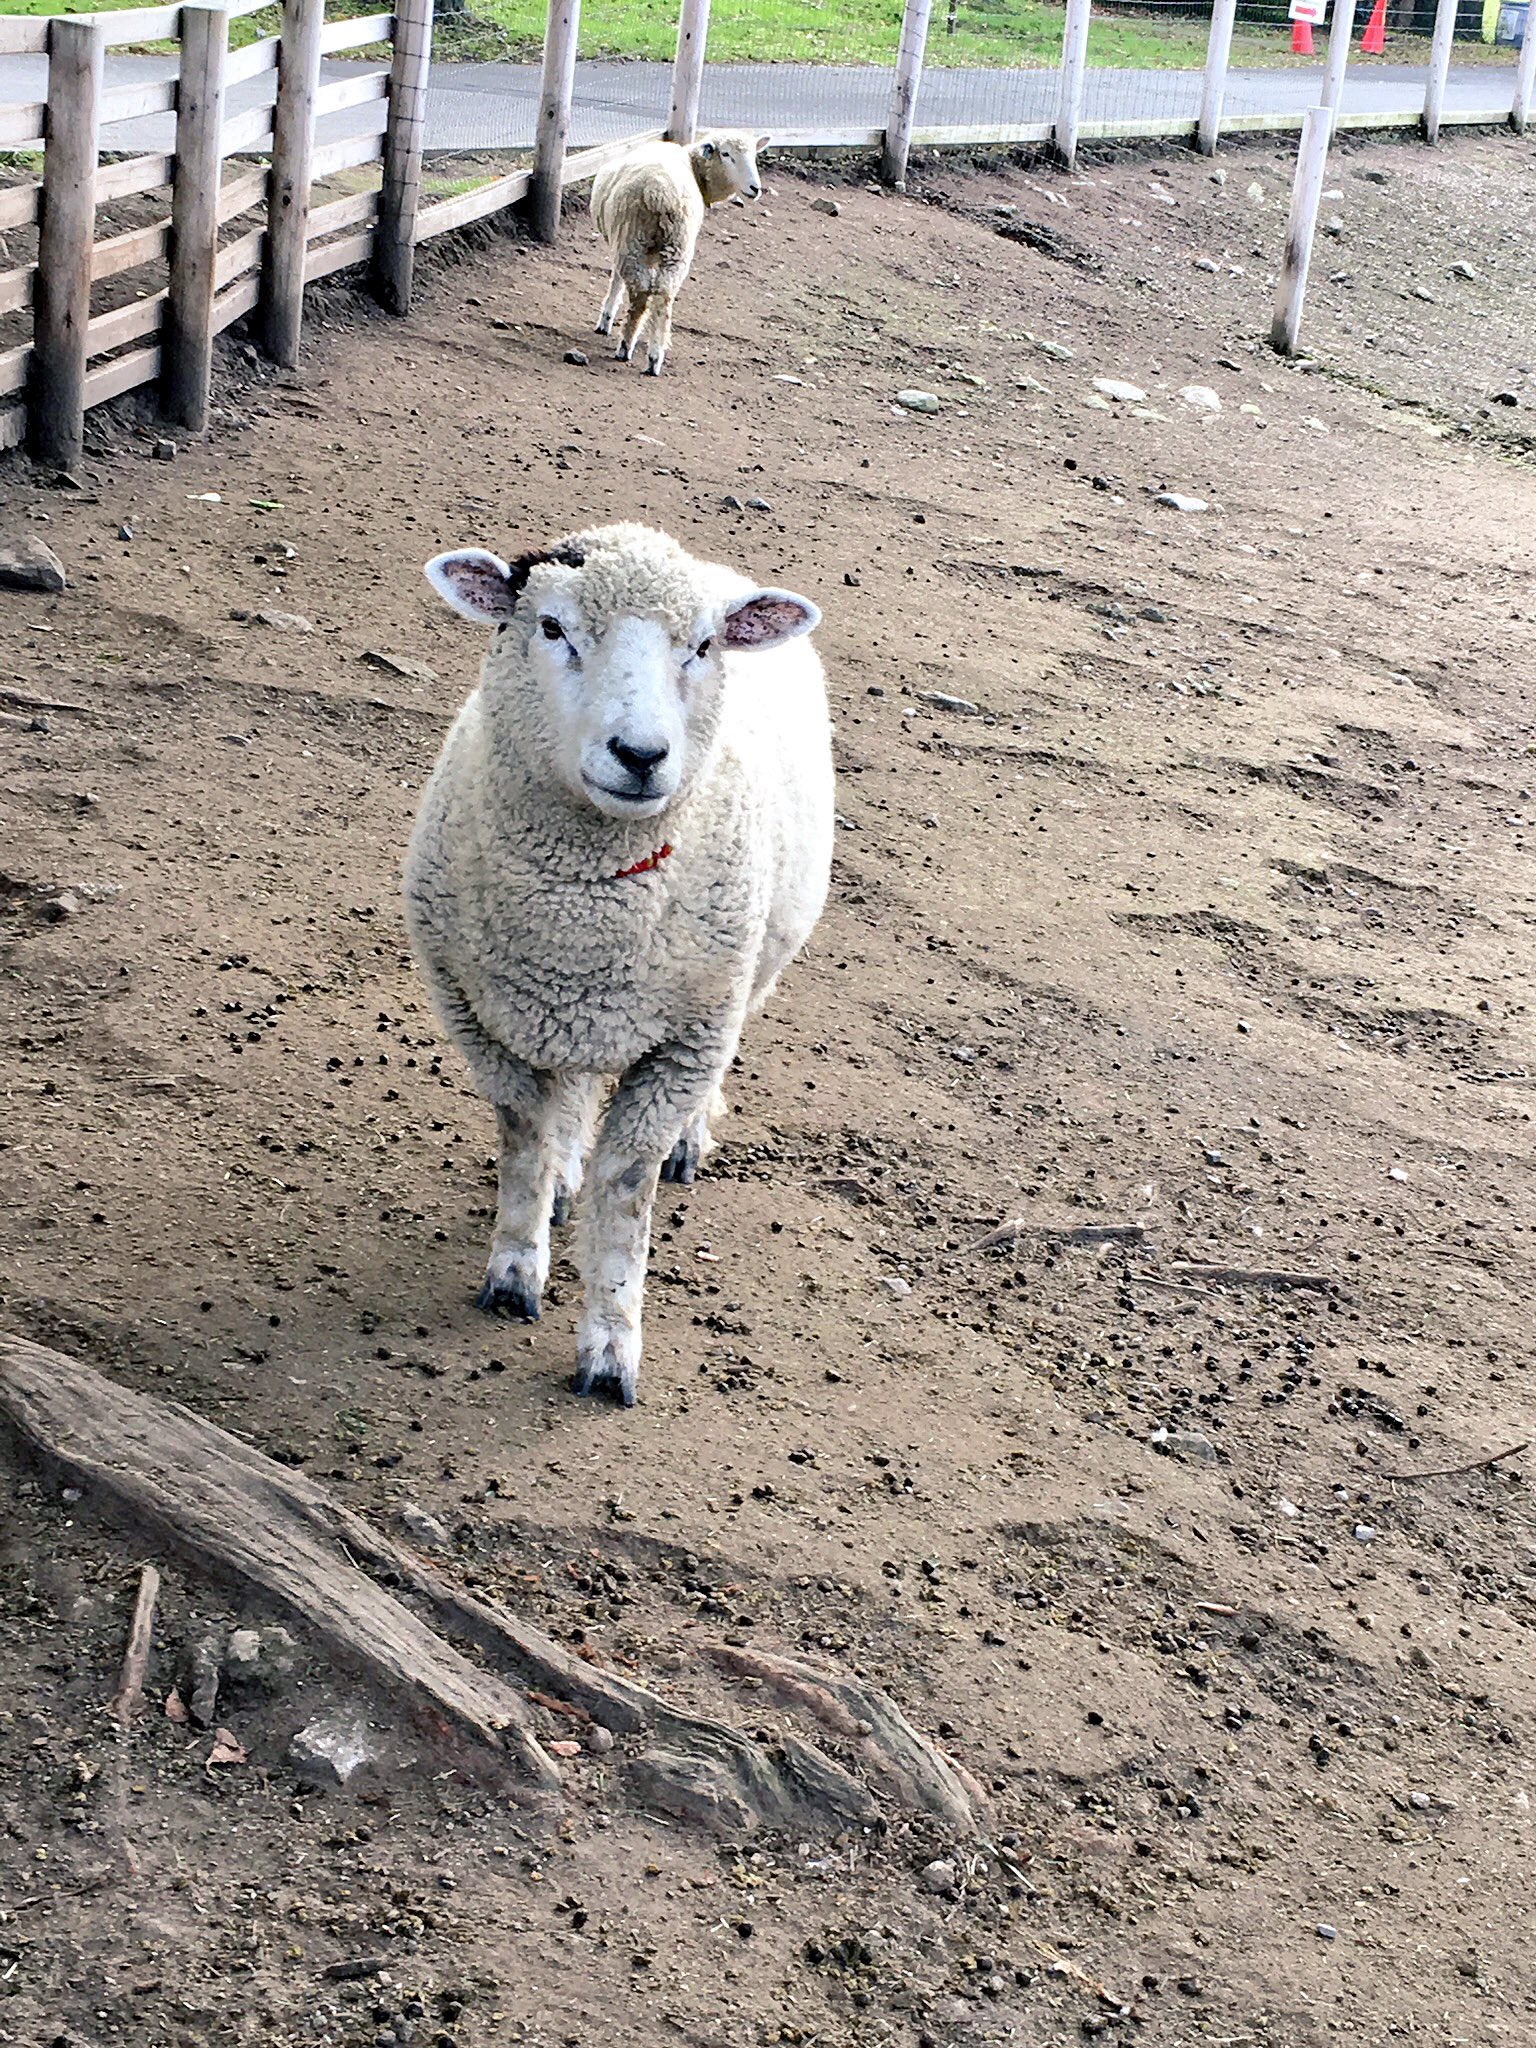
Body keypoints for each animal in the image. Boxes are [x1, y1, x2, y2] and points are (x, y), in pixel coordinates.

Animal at [403, 520, 835, 1409]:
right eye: (551, 627)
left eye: (702, 646)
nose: (640, 754)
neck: (582, 929)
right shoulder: (480, 1017)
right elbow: (525, 1135)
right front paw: (515, 1269)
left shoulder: (686, 1043)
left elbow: (628, 1185)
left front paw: (610, 1344)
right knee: (568, 1093)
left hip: (750, 973)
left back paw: (687, 1143)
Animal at [589, 132, 770, 376]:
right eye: (726, 154)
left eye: (754, 155)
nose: (755, 188)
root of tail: (659, 192)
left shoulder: (622, 241)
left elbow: (616, 279)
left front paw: (606, 321)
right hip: (674, 245)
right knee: (663, 296)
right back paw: (654, 356)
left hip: (634, 239)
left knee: (641, 294)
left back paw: (627, 346)